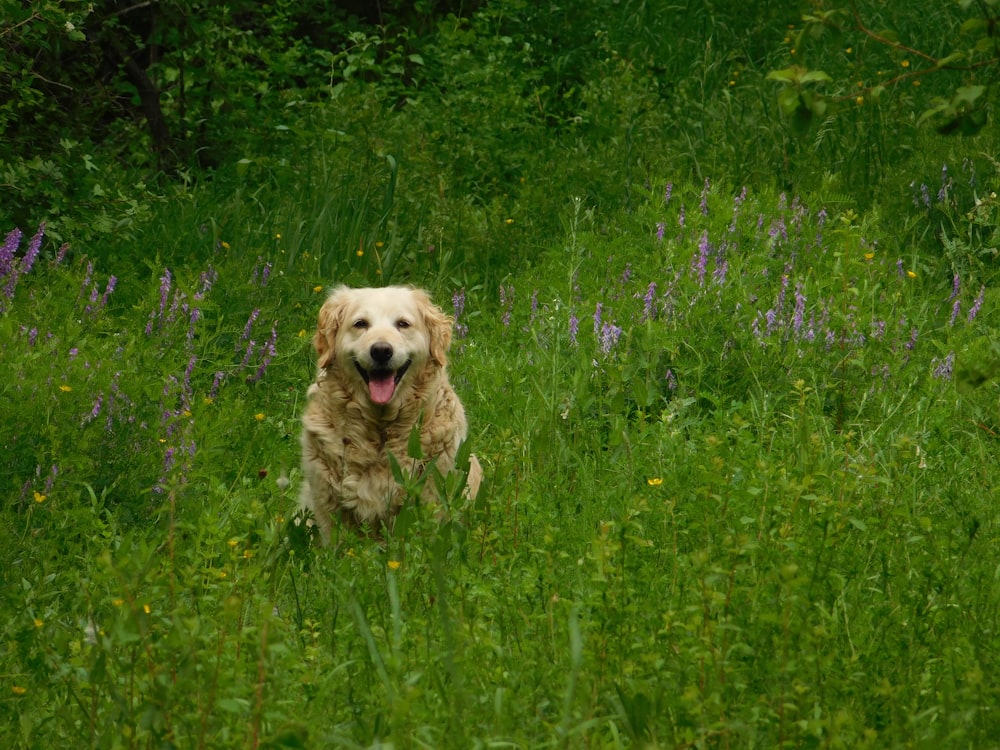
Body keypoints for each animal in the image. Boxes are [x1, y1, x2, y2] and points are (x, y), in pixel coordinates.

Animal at [298, 286, 482, 540]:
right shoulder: (327, 503)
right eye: (360, 324)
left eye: (403, 324)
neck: (381, 429)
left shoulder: (431, 495)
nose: (381, 351)